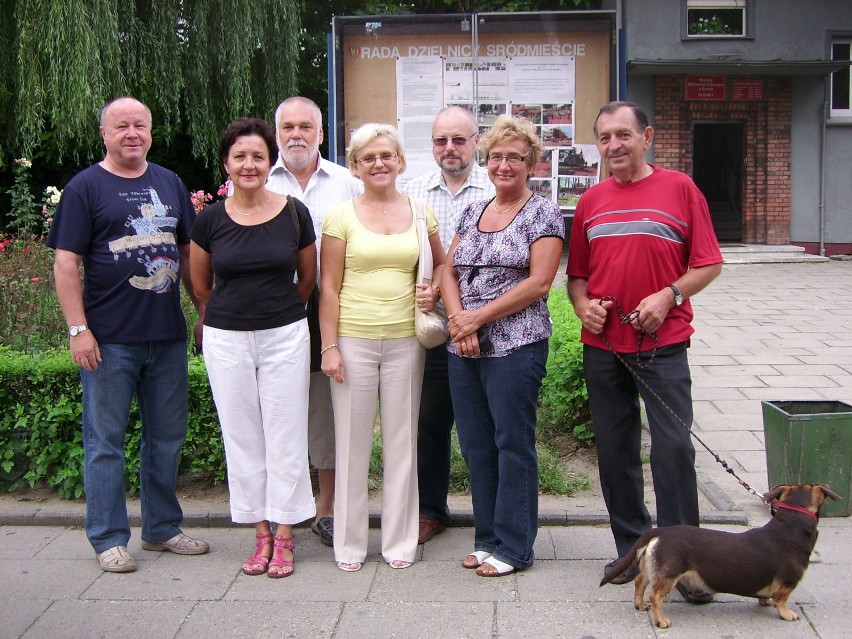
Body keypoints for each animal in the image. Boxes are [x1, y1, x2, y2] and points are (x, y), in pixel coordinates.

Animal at [604, 484, 844, 632]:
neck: (789, 525)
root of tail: (660, 532)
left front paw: (765, 600)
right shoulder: (788, 582)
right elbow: (782, 599)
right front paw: (786, 614)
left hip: (649, 567)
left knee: (639, 582)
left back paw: (640, 605)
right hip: (670, 575)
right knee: (655, 596)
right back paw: (661, 620)